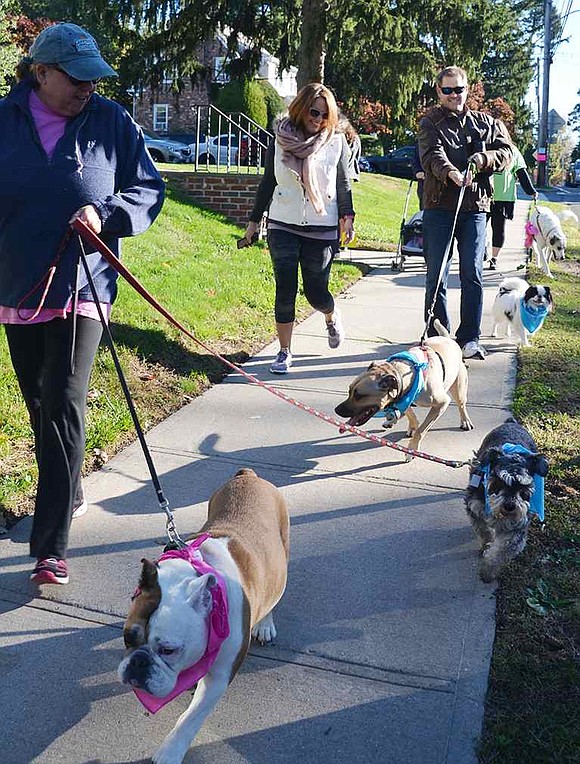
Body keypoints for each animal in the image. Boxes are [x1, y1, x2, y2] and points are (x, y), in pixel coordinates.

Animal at [334, 320, 474, 456]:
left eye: (359, 396)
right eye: (349, 391)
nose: (336, 410)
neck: (399, 373)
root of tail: (448, 339)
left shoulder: (441, 403)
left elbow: (421, 430)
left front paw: (411, 449)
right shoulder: (402, 399)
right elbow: (411, 415)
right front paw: (412, 426)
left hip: (458, 388)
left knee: (461, 405)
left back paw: (465, 421)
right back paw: (392, 420)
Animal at [462, 420, 548, 580]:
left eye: (524, 487)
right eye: (499, 481)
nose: (509, 506)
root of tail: (512, 422)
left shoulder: (517, 526)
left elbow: (503, 550)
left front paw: (487, 571)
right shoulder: (475, 507)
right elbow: (484, 531)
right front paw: (486, 545)